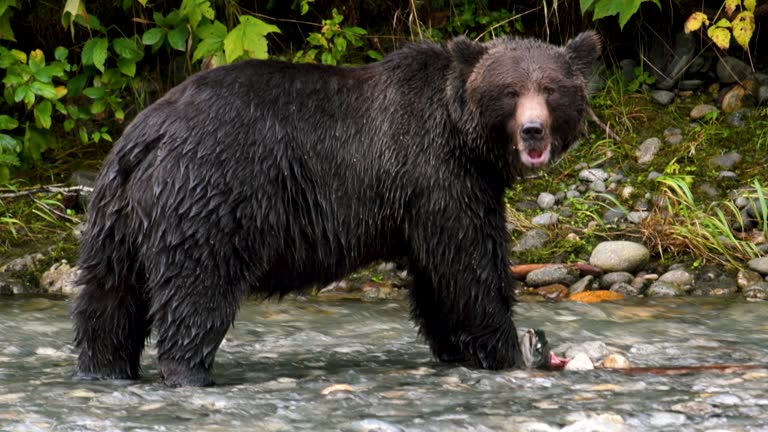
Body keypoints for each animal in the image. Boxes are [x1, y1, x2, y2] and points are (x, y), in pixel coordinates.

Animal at [72, 32, 600, 386]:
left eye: (551, 89)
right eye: (510, 91)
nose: (533, 130)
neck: (464, 137)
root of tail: (150, 135)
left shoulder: (427, 196)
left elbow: (436, 281)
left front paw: (460, 348)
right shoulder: (438, 176)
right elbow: (468, 267)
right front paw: (509, 346)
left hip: (117, 217)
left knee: (109, 298)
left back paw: (103, 367)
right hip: (210, 198)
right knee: (198, 287)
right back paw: (188, 371)